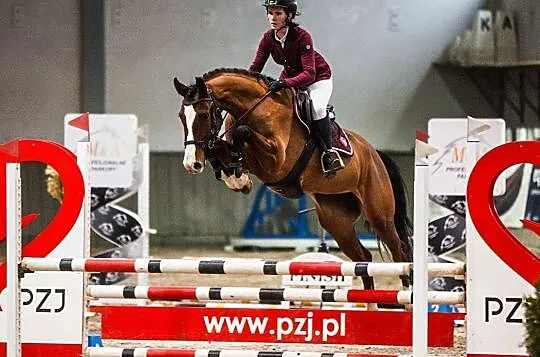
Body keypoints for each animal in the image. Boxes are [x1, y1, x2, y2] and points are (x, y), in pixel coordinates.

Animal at [173, 67, 414, 294]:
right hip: (337, 220)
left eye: (204, 115)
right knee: (363, 259)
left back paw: (407, 293)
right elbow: (223, 147)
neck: (255, 109)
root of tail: (375, 154)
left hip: (379, 215)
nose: (191, 164)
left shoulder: (276, 162)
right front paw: (236, 178)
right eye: (181, 116)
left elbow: (242, 133)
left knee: (399, 251)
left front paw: (238, 176)